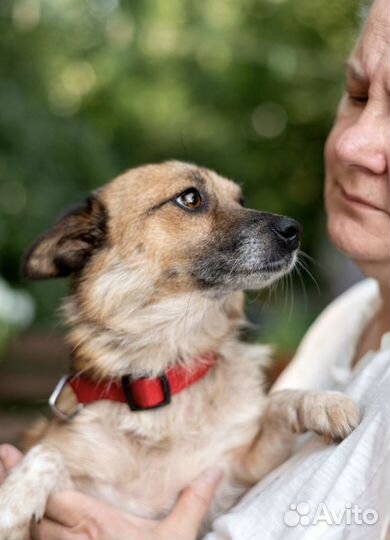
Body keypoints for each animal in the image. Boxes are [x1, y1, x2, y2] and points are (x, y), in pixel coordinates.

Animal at [0, 161, 360, 540]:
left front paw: (325, 402)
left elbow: (279, 401)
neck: (160, 380)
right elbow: (47, 453)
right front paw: (14, 497)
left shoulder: (241, 473)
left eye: (240, 199)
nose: (295, 230)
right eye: (190, 198)